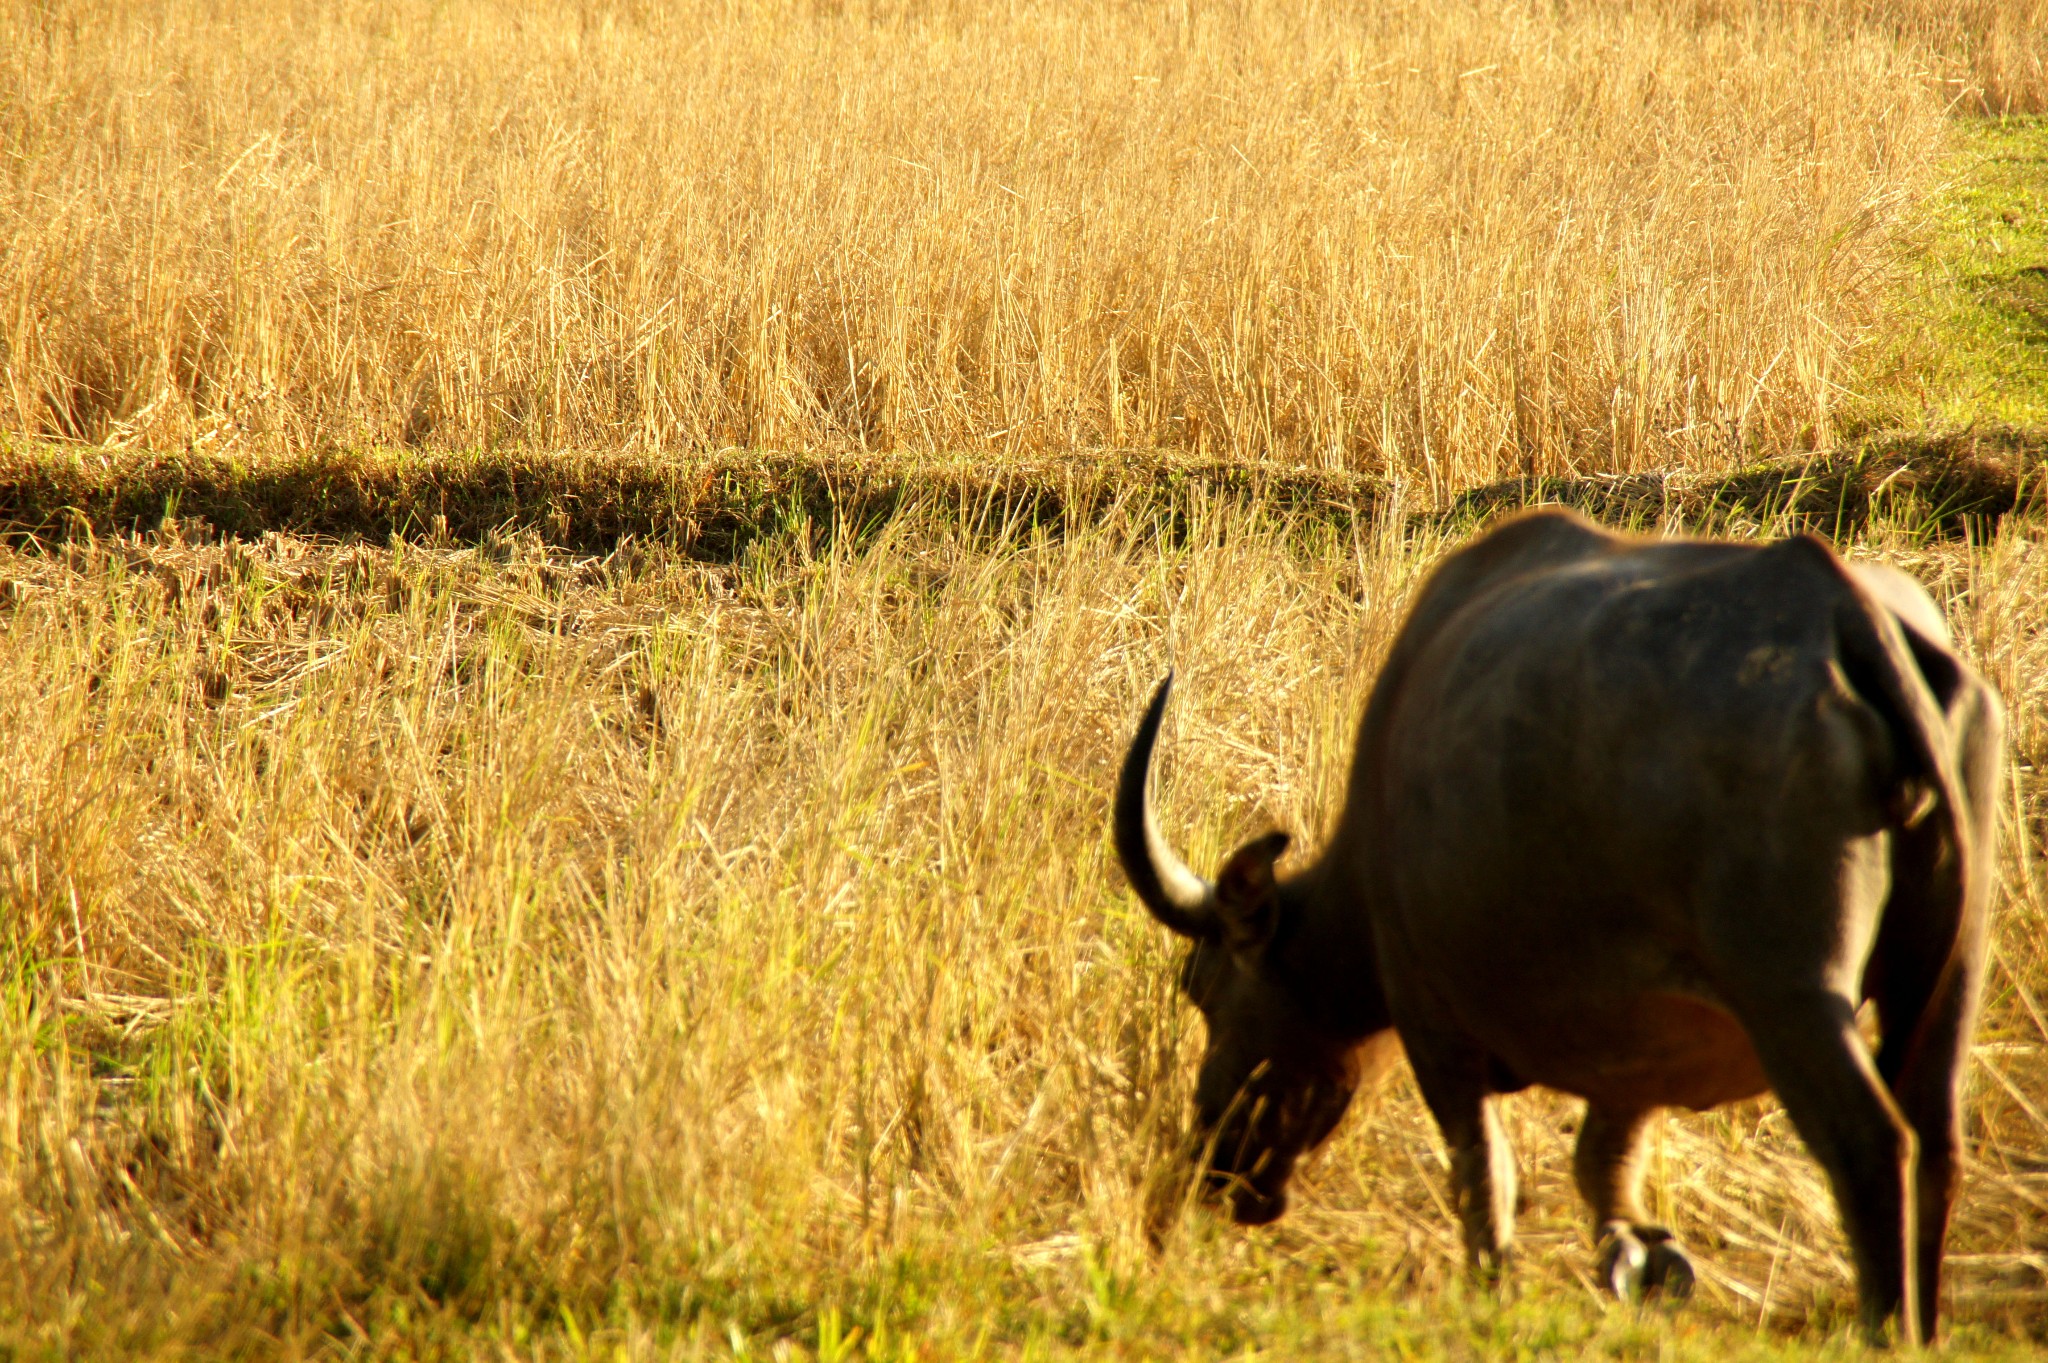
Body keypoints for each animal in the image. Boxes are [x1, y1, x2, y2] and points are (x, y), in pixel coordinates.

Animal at [1122, 507, 1998, 1334]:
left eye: (1202, 985)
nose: (1217, 1169)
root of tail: (1841, 610)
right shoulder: (1640, 1054)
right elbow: (1602, 1164)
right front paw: (1638, 1261)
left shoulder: (1432, 1021)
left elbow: (1483, 1171)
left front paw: (1493, 1289)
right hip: (1949, 977)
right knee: (1938, 1143)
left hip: (1794, 994)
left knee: (1872, 1144)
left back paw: (1883, 1324)